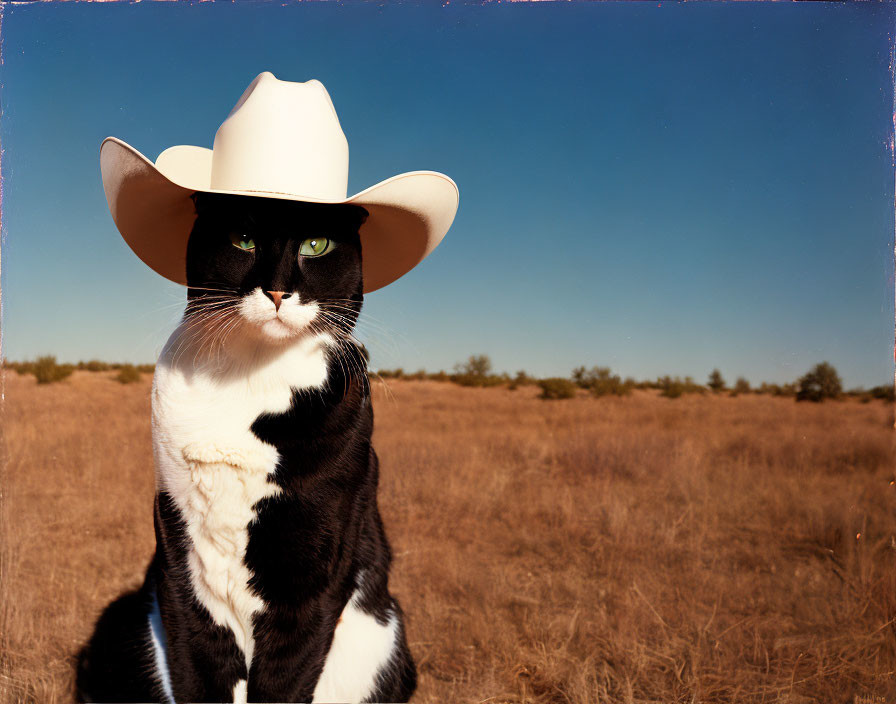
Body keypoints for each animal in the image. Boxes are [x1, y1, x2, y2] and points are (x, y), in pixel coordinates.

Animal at [77, 190, 416, 700]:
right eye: (243, 238)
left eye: (316, 244)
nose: (276, 290)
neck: (254, 374)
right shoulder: (179, 553)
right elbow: (197, 664)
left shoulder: (319, 566)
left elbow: (286, 675)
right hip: (125, 618)